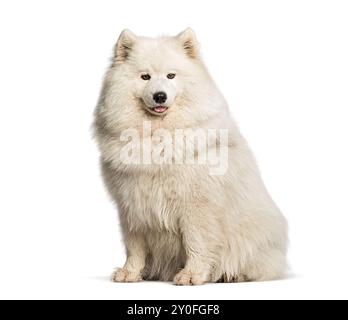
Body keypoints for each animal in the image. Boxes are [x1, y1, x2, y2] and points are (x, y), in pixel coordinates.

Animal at [94, 26, 286, 282]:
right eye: (145, 77)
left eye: (170, 76)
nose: (160, 96)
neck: (158, 135)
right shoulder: (131, 204)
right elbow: (134, 246)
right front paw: (130, 273)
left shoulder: (196, 205)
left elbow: (196, 241)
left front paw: (192, 275)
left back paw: (233, 275)